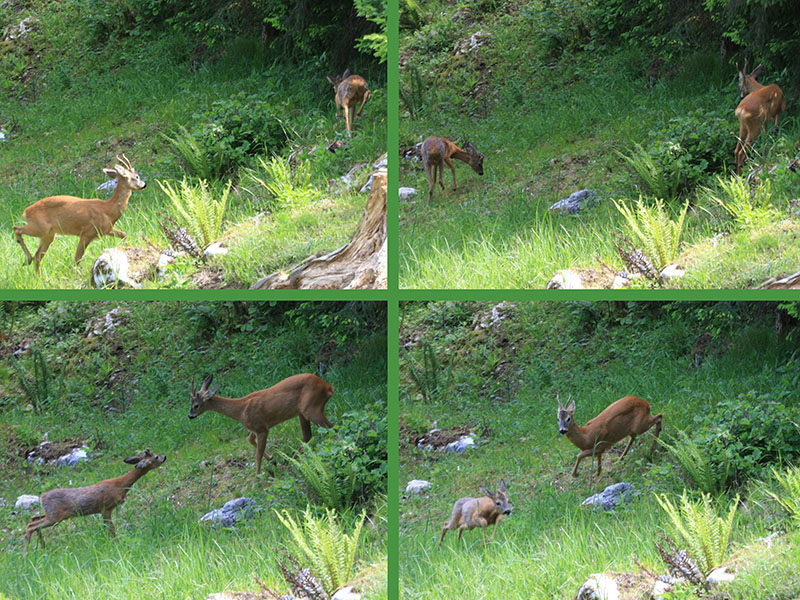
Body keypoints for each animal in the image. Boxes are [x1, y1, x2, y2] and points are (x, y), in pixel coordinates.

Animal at [12, 154, 147, 270]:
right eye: (136, 176)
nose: (144, 184)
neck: (108, 210)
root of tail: (26, 211)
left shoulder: (106, 230)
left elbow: (124, 234)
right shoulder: (87, 232)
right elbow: (77, 259)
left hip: (48, 235)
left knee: (38, 257)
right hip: (41, 227)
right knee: (16, 229)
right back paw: (28, 259)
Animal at [22, 448, 166, 556]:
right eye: (156, 457)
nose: (164, 456)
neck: (120, 485)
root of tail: (41, 497)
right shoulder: (106, 507)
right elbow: (111, 529)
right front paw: (116, 543)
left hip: (51, 514)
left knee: (34, 519)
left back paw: (42, 547)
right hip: (56, 515)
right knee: (31, 525)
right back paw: (26, 553)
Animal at [188, 376, 334, 474]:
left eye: (196, 405)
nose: (189, 416)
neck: (241, 410)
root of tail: (328, 387)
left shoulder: (262, 428)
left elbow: (258, 455)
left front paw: (257, 481)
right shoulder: (255, 428)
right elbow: (249, 439)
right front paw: (273, 460)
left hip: (312, 409)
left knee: (332, 429)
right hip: (302, 413)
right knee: (307, 435)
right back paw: (292, 462)